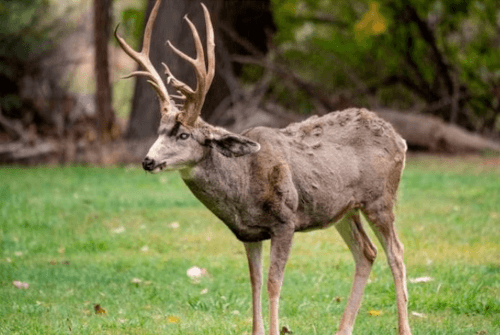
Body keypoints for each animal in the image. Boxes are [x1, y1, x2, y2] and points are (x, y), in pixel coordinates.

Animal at [115, 1, 412, 334]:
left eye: (184, 135)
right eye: (159, 130)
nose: (148, 160)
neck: (243, 188)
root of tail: (400, 139)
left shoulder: (285, 220)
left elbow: (273, 282)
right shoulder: (249, 233)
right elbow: (254, 283)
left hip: (380, 199)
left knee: (396, 253)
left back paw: (404, 327)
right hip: (344, 209)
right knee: (366, 252)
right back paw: (343, 328)